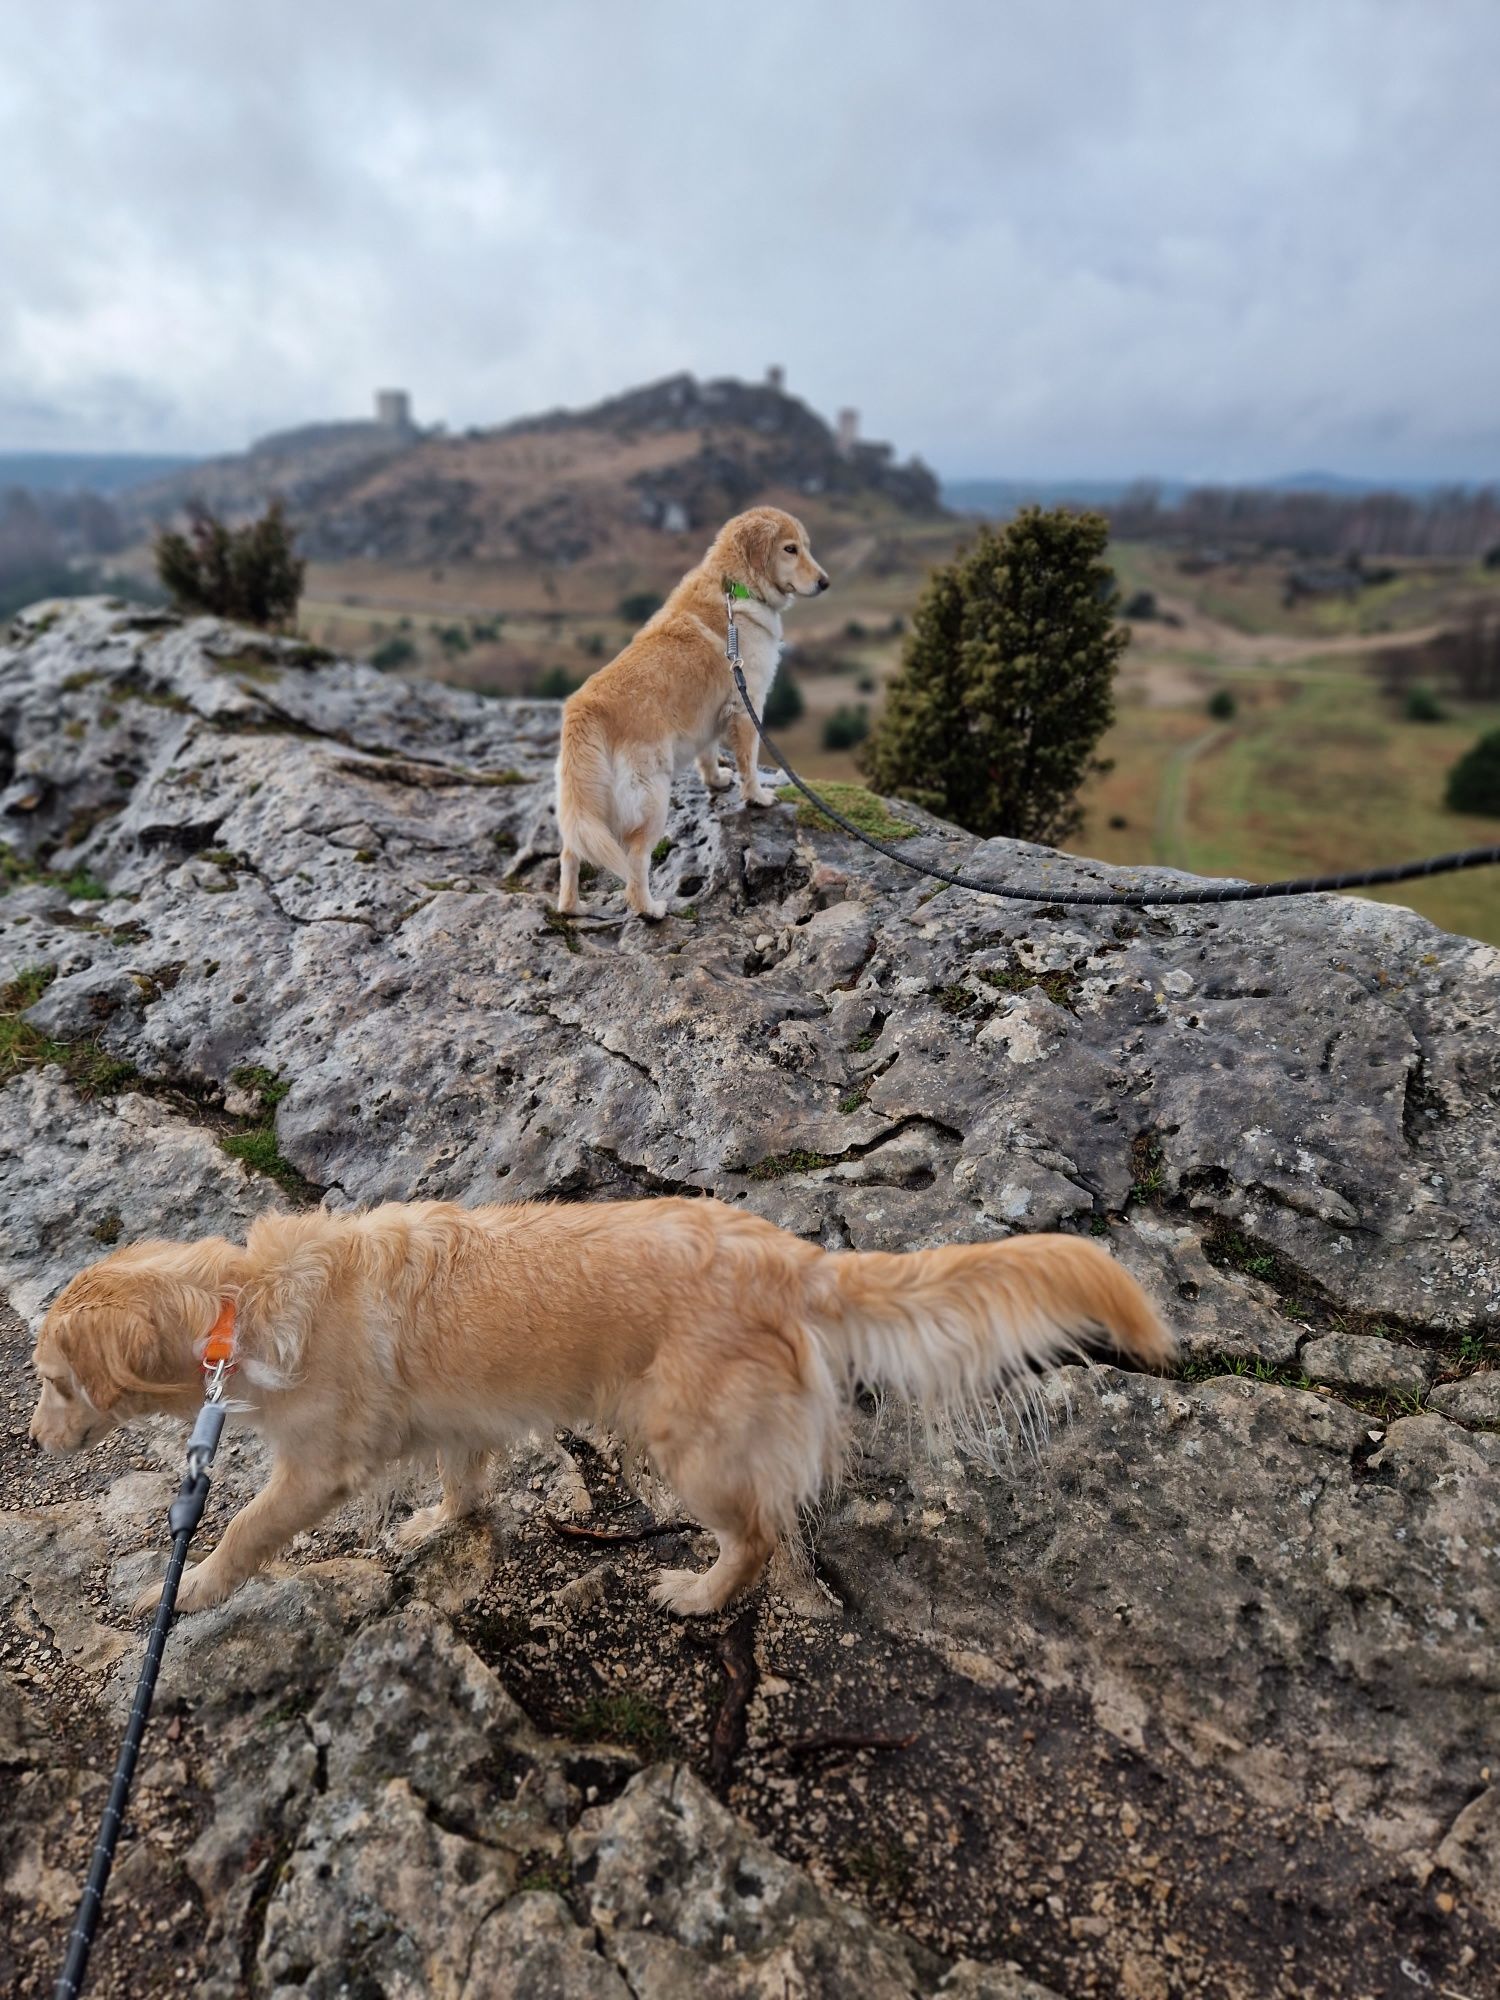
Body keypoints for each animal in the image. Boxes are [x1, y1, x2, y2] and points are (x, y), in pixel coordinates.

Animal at [26, 1192, 1176, 1616]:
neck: (243, 1299)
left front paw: (190, 1587)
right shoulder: (459, 1422)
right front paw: (438, 1521)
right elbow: (461, 1483)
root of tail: (789, 1255)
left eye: (49, 1381)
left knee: (759, 1536)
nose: (32, 1444)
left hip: (692, 1447)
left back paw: (699, 1594)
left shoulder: (313, 1469)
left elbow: (243, 1528)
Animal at [560, 512, 828, 924]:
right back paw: (651, 909)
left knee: (570, 853)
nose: (825, 582)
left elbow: (708, 752)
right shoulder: (747, 703)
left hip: (585, 807)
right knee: (634, 863)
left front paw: (716, 780)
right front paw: (757, 797)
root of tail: (585, 707)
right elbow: (750, 761)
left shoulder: (712, 713)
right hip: (651, 799)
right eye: (790, 549)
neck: (736, 589)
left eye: (806, 546)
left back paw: (573, 907)